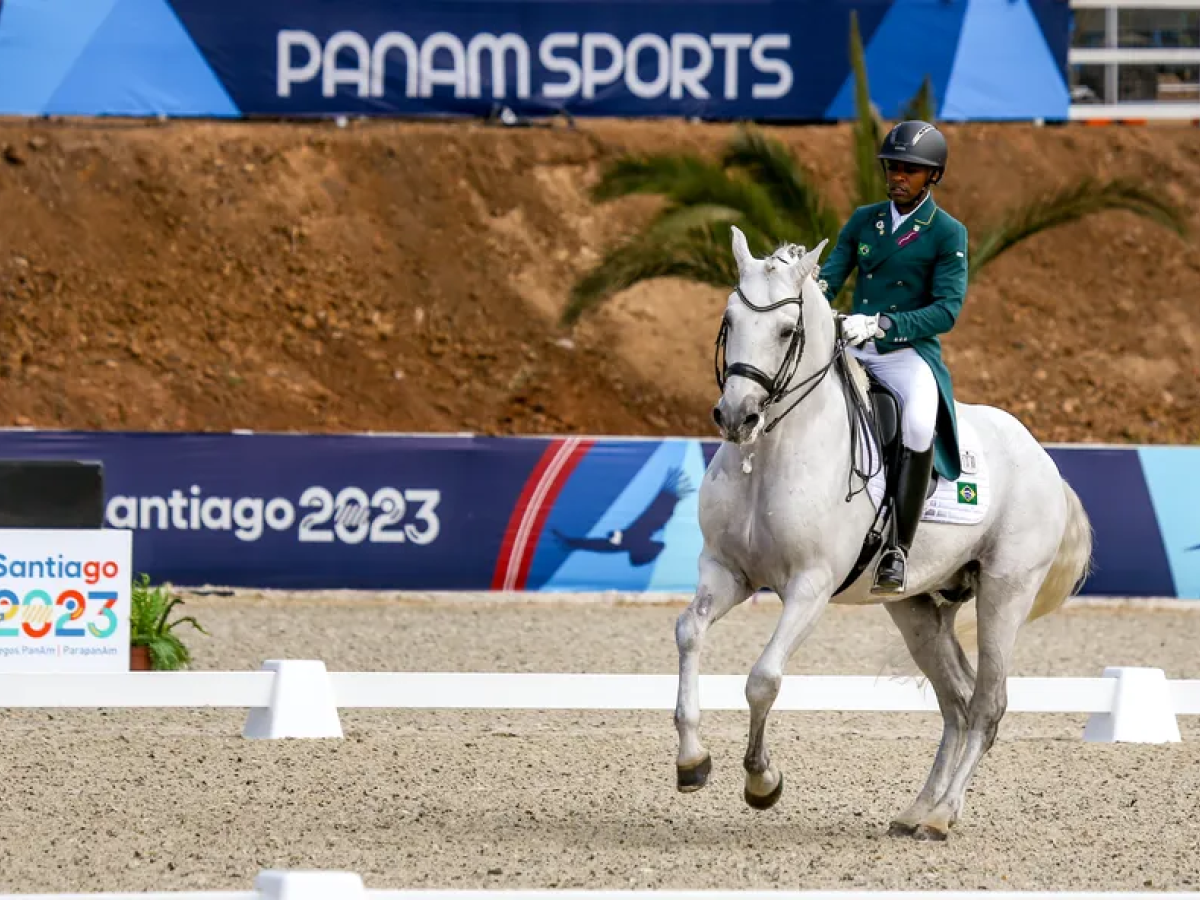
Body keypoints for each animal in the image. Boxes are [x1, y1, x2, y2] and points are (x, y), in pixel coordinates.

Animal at [672, 229, 1094, 844]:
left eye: (787, 330)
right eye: (729, 318)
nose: (736, 417)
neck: (771, 452)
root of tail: (1044, 459)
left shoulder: (809, 587)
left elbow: (763, 679)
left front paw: (761, 781)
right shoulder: (726, 572)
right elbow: (689, 634)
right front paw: (692, 762)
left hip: (1005, 593)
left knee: (986, 704)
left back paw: (941, 817)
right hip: (917, 607)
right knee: (957, 702)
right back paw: (917, 811)